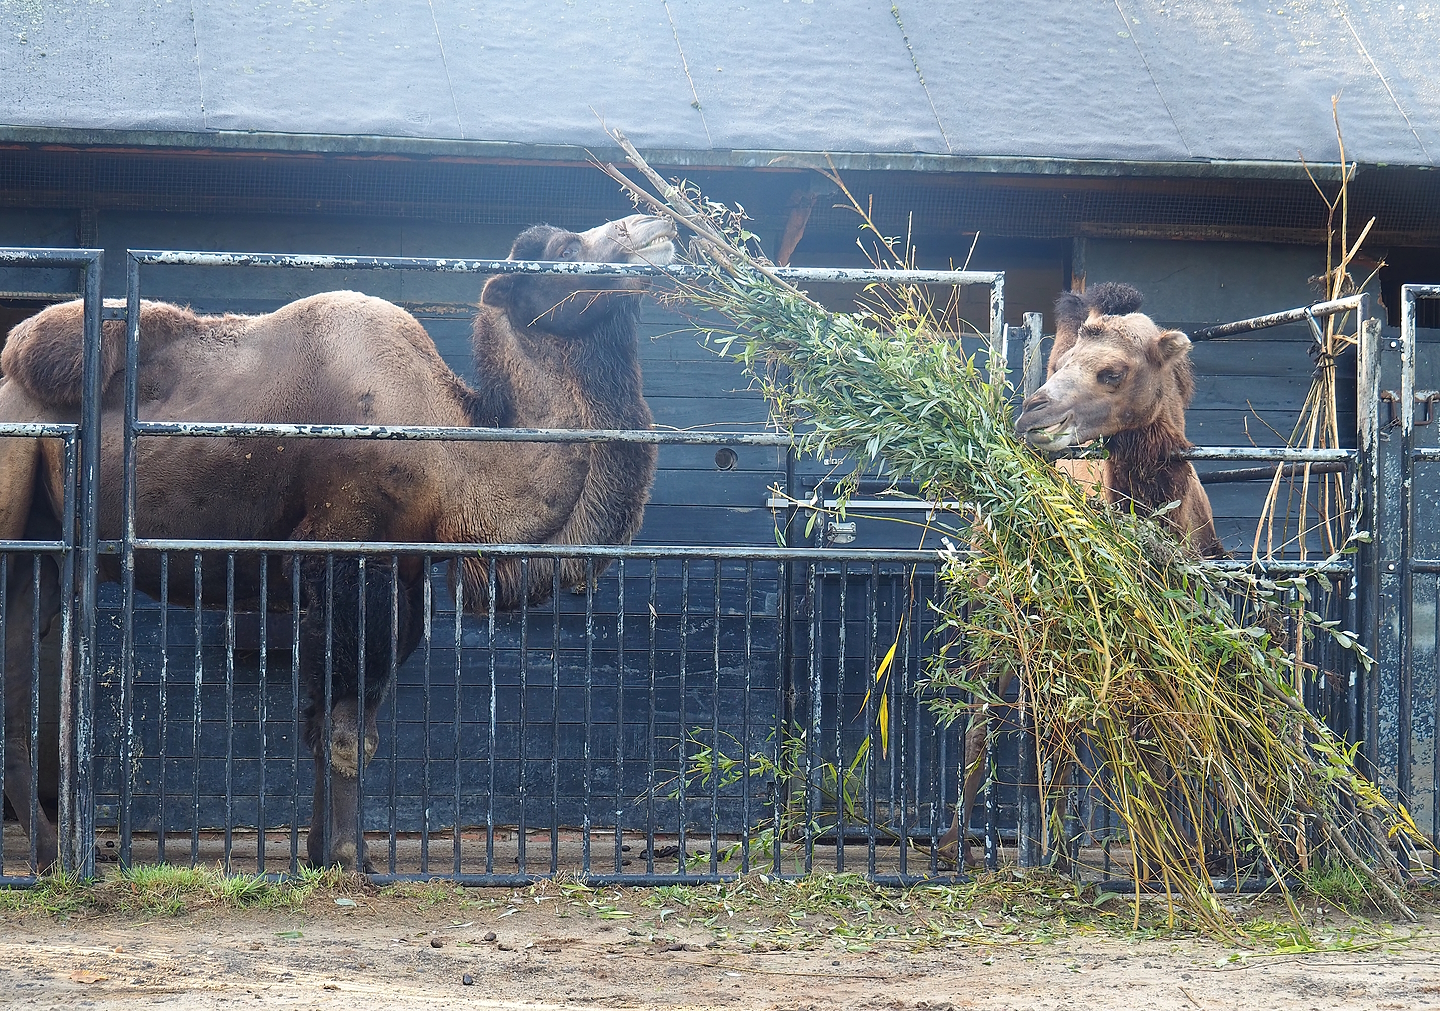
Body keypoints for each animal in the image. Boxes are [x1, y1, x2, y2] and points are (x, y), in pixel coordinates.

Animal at [0, 213, 676, 873]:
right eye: (565, 248)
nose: (656, 226)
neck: (450, 448)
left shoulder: (402, 574)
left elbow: (343, 722)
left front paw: (326, 852)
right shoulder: (348, 554)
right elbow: (346, 729)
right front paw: (350, 858)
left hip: (44, 545)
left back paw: (49, 851)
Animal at [938, 282, 1225, 868]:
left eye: (1112, 372)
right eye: (1063, 363)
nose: (1031, 414)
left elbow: (1162, 735)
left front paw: (1173, 852)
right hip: (999, 617)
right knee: (993, 716)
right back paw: (969, 846)